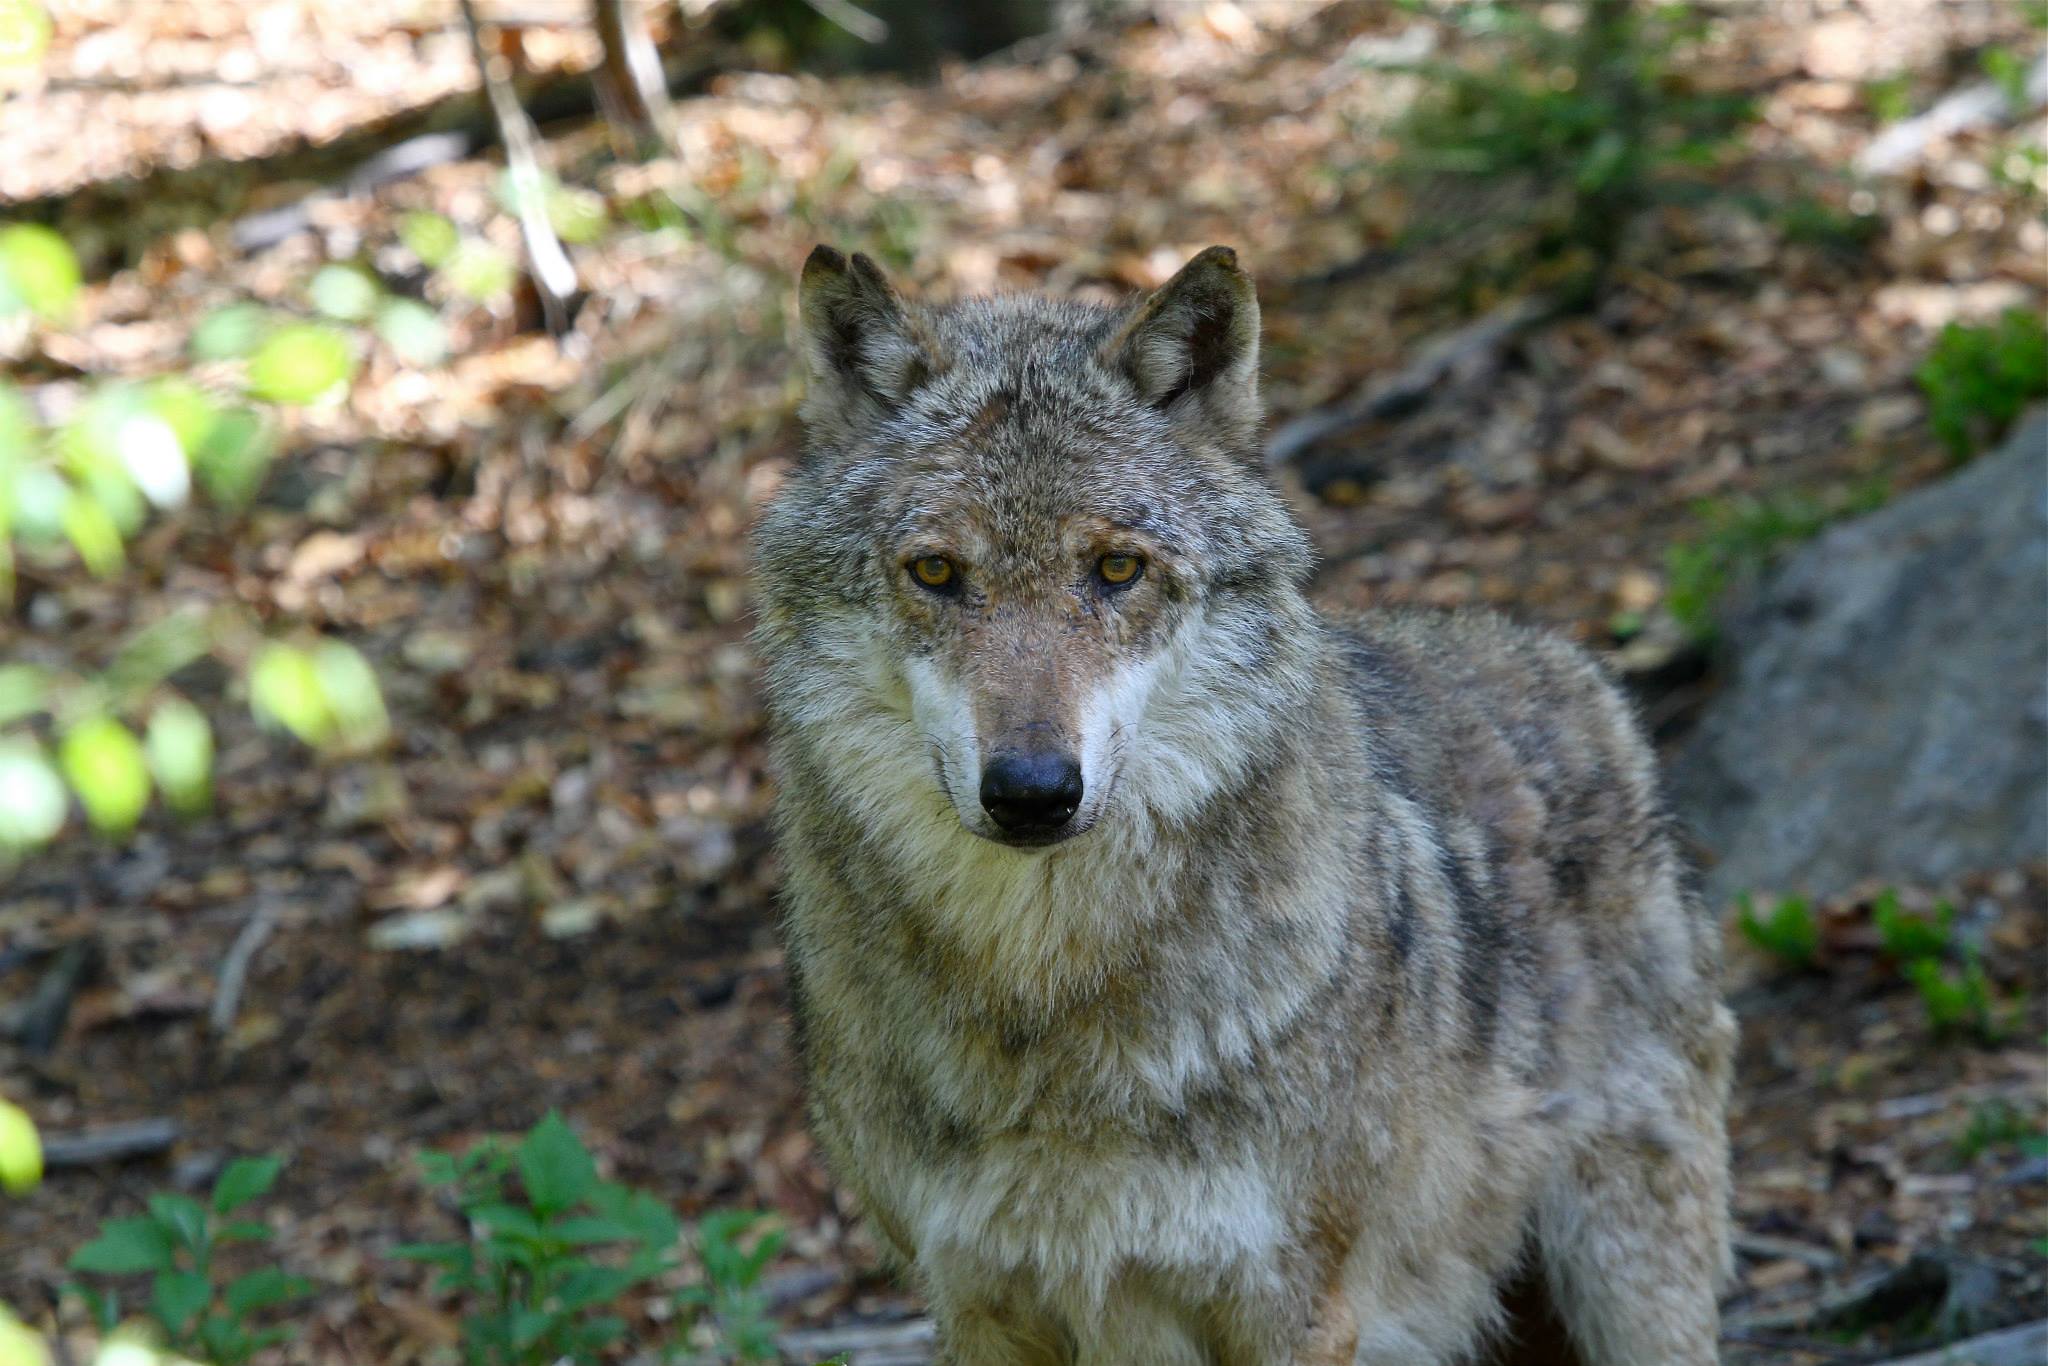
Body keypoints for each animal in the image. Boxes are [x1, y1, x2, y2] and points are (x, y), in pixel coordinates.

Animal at [752, 244, 1734, 1366]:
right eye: (935, 572)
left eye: (1117, 568)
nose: (1033, 791)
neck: (1044, 1010)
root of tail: (1585, 674)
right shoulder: (972, 1306)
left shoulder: (1291, 1304)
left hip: (1633, 1283)